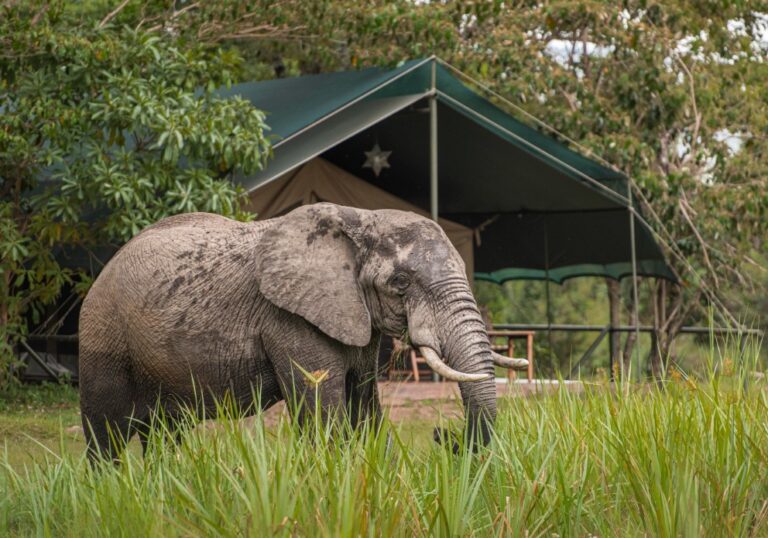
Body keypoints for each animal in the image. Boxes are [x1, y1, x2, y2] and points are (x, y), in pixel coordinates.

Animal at [79, 201, 528, 456]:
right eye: (400, 282)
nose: (442, 435)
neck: (360, 218)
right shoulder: (289, 319)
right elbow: (324, 415)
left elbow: (365, 410)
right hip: (103, 332)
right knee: (105, 432)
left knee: (164, 432)